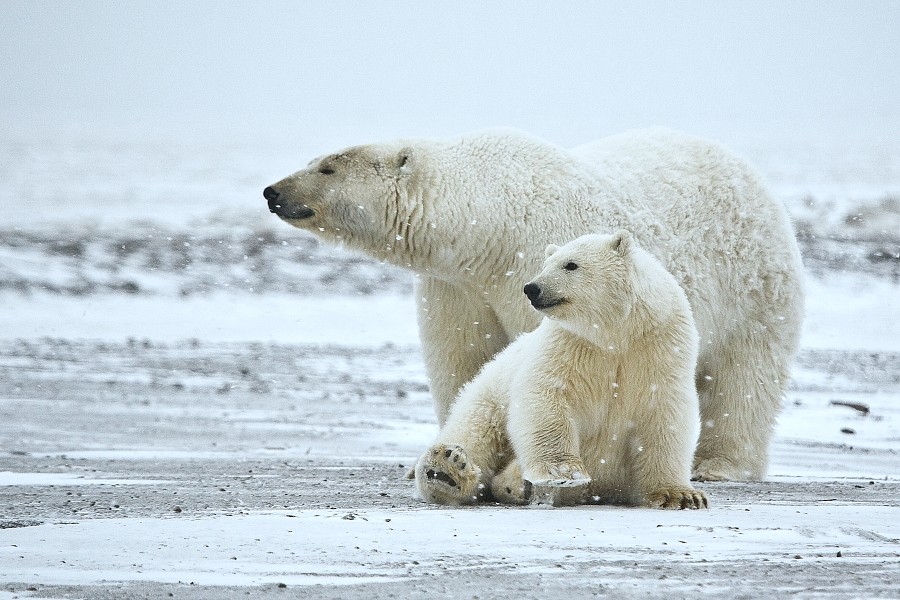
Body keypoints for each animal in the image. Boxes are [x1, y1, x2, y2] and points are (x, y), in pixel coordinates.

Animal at [414, 231, 707, 509]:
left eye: (571, 264)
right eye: (546, 264)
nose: (531, 288)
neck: (616, 333)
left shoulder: (660, 347)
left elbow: (664, 414)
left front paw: (680, 495)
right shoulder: (569, 343)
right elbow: (546, 393)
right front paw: (563, 472)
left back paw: (512, 482)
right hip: (489, 395)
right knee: (476, 431)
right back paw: (447, 470)